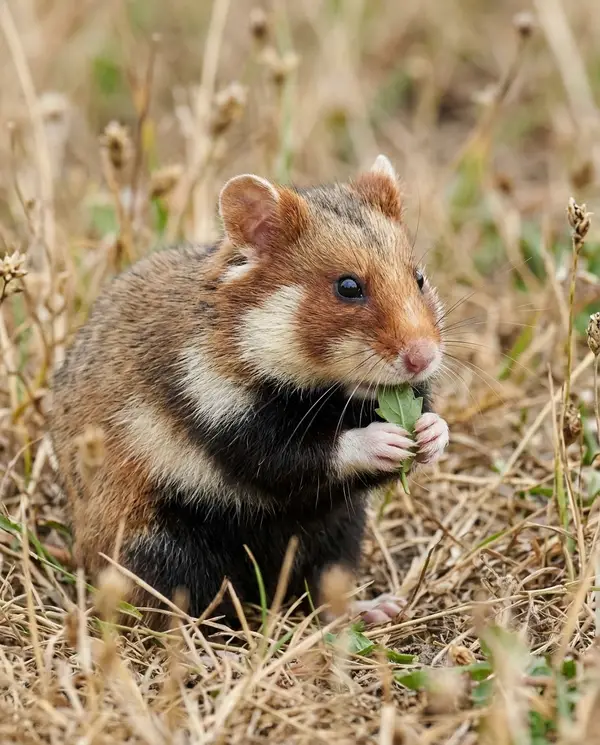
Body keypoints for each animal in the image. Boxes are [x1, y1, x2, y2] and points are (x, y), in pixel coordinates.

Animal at [49, 154, 449, 629]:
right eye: (348, 287)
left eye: (419, 277)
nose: (424, 357)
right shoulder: (226, 418)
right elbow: (302, 456)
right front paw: (385, 439)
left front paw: (432, 432)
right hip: (159, 545)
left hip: (341, 530)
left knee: (322, 589)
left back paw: (376, 609)